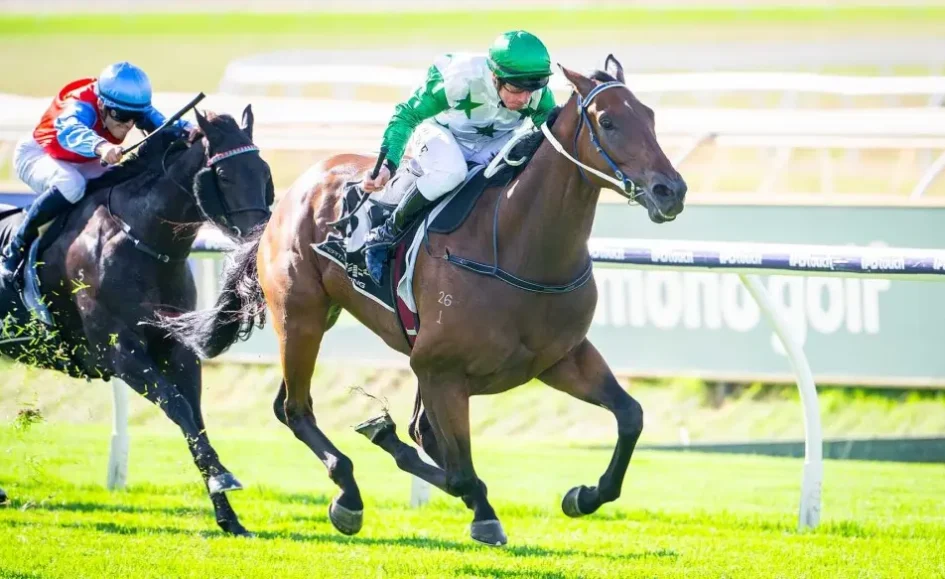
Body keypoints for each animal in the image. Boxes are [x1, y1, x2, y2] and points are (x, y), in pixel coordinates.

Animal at [0, 106, 273, 535]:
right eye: (225, 176)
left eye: (263, 172)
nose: (261, 239)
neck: (141, 240)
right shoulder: (120, 354)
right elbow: (177, 407)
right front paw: (223, 477)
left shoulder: (176, 348)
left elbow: (194, 417)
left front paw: (229, 516)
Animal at [156, 54, 687, 546]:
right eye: (608, 121)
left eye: (650, 115)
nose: (671, 190)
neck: (518, 245)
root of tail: (295, 190)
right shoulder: (439, 371)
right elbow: (459, 471)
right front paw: (479, 510)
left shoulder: (560, 358)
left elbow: (630, 417)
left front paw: (584, 495)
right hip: (300, 315)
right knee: (295, 408)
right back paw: (348, 496)